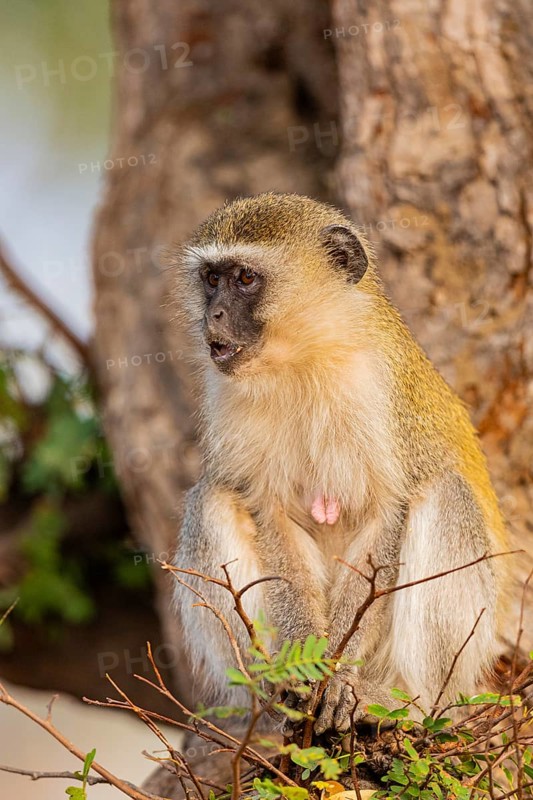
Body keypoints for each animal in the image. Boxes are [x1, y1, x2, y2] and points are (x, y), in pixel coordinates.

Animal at [172, 192, 509, 734]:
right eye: (210, 279)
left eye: (244, 278)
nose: (214, 317)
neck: (303, 359)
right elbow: (270, 514)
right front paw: (305, 669)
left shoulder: (379, 389)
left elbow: (389, 511)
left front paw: (339, 676)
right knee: (211, 500)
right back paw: (271, 702)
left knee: (445, 492)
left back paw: (406, 705)